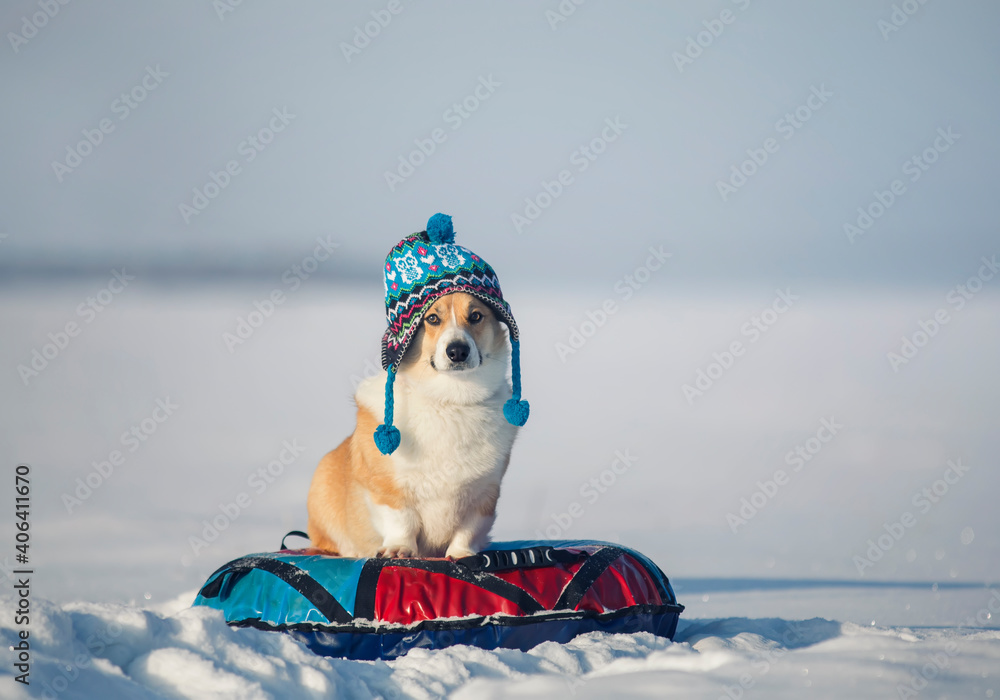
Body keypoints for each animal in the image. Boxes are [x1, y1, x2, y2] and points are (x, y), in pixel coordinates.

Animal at [306, 292, 520, 560]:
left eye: (476, 316)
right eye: (432, 318)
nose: (457, 351)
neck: (450, 399)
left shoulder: (484, 495)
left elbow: (468, 530)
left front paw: (462, 554)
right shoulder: (389, 489)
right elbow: (402, 521)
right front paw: (400, 549)